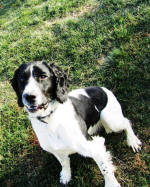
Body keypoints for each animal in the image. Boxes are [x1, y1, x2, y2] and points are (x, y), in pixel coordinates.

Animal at [10, 60, 142, 186]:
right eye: (22, 79)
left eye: (43, 76)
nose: (28, 96)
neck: (51, 120)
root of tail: (103, 88)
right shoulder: (56, 150)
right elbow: (64, 162)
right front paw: (66, 175)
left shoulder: (95, 145)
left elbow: (105, 168)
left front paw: (111, 184)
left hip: (111, 120)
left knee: (127, 122)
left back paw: (133, 141)